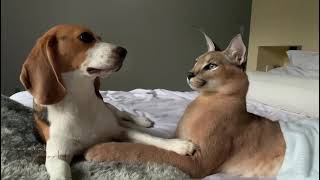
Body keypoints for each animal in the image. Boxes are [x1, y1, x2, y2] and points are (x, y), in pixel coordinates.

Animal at [20, 24, 196, 180]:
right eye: (85, 37)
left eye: (100, 38)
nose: (124, 51)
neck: (80, 99)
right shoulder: (57, 156)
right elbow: (61, 174)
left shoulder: (120, 131)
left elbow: (150, 138)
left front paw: (178, 145)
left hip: (111, 110)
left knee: (123, 114)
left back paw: (143, 120)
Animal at [84, 33, 286, 178]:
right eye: (196, 61)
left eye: (211, 66)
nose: (189, 73)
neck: (206, 100)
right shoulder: (176, 135)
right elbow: (156, 140)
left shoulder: (199, 161)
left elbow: (147, 150)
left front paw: (99, 149)